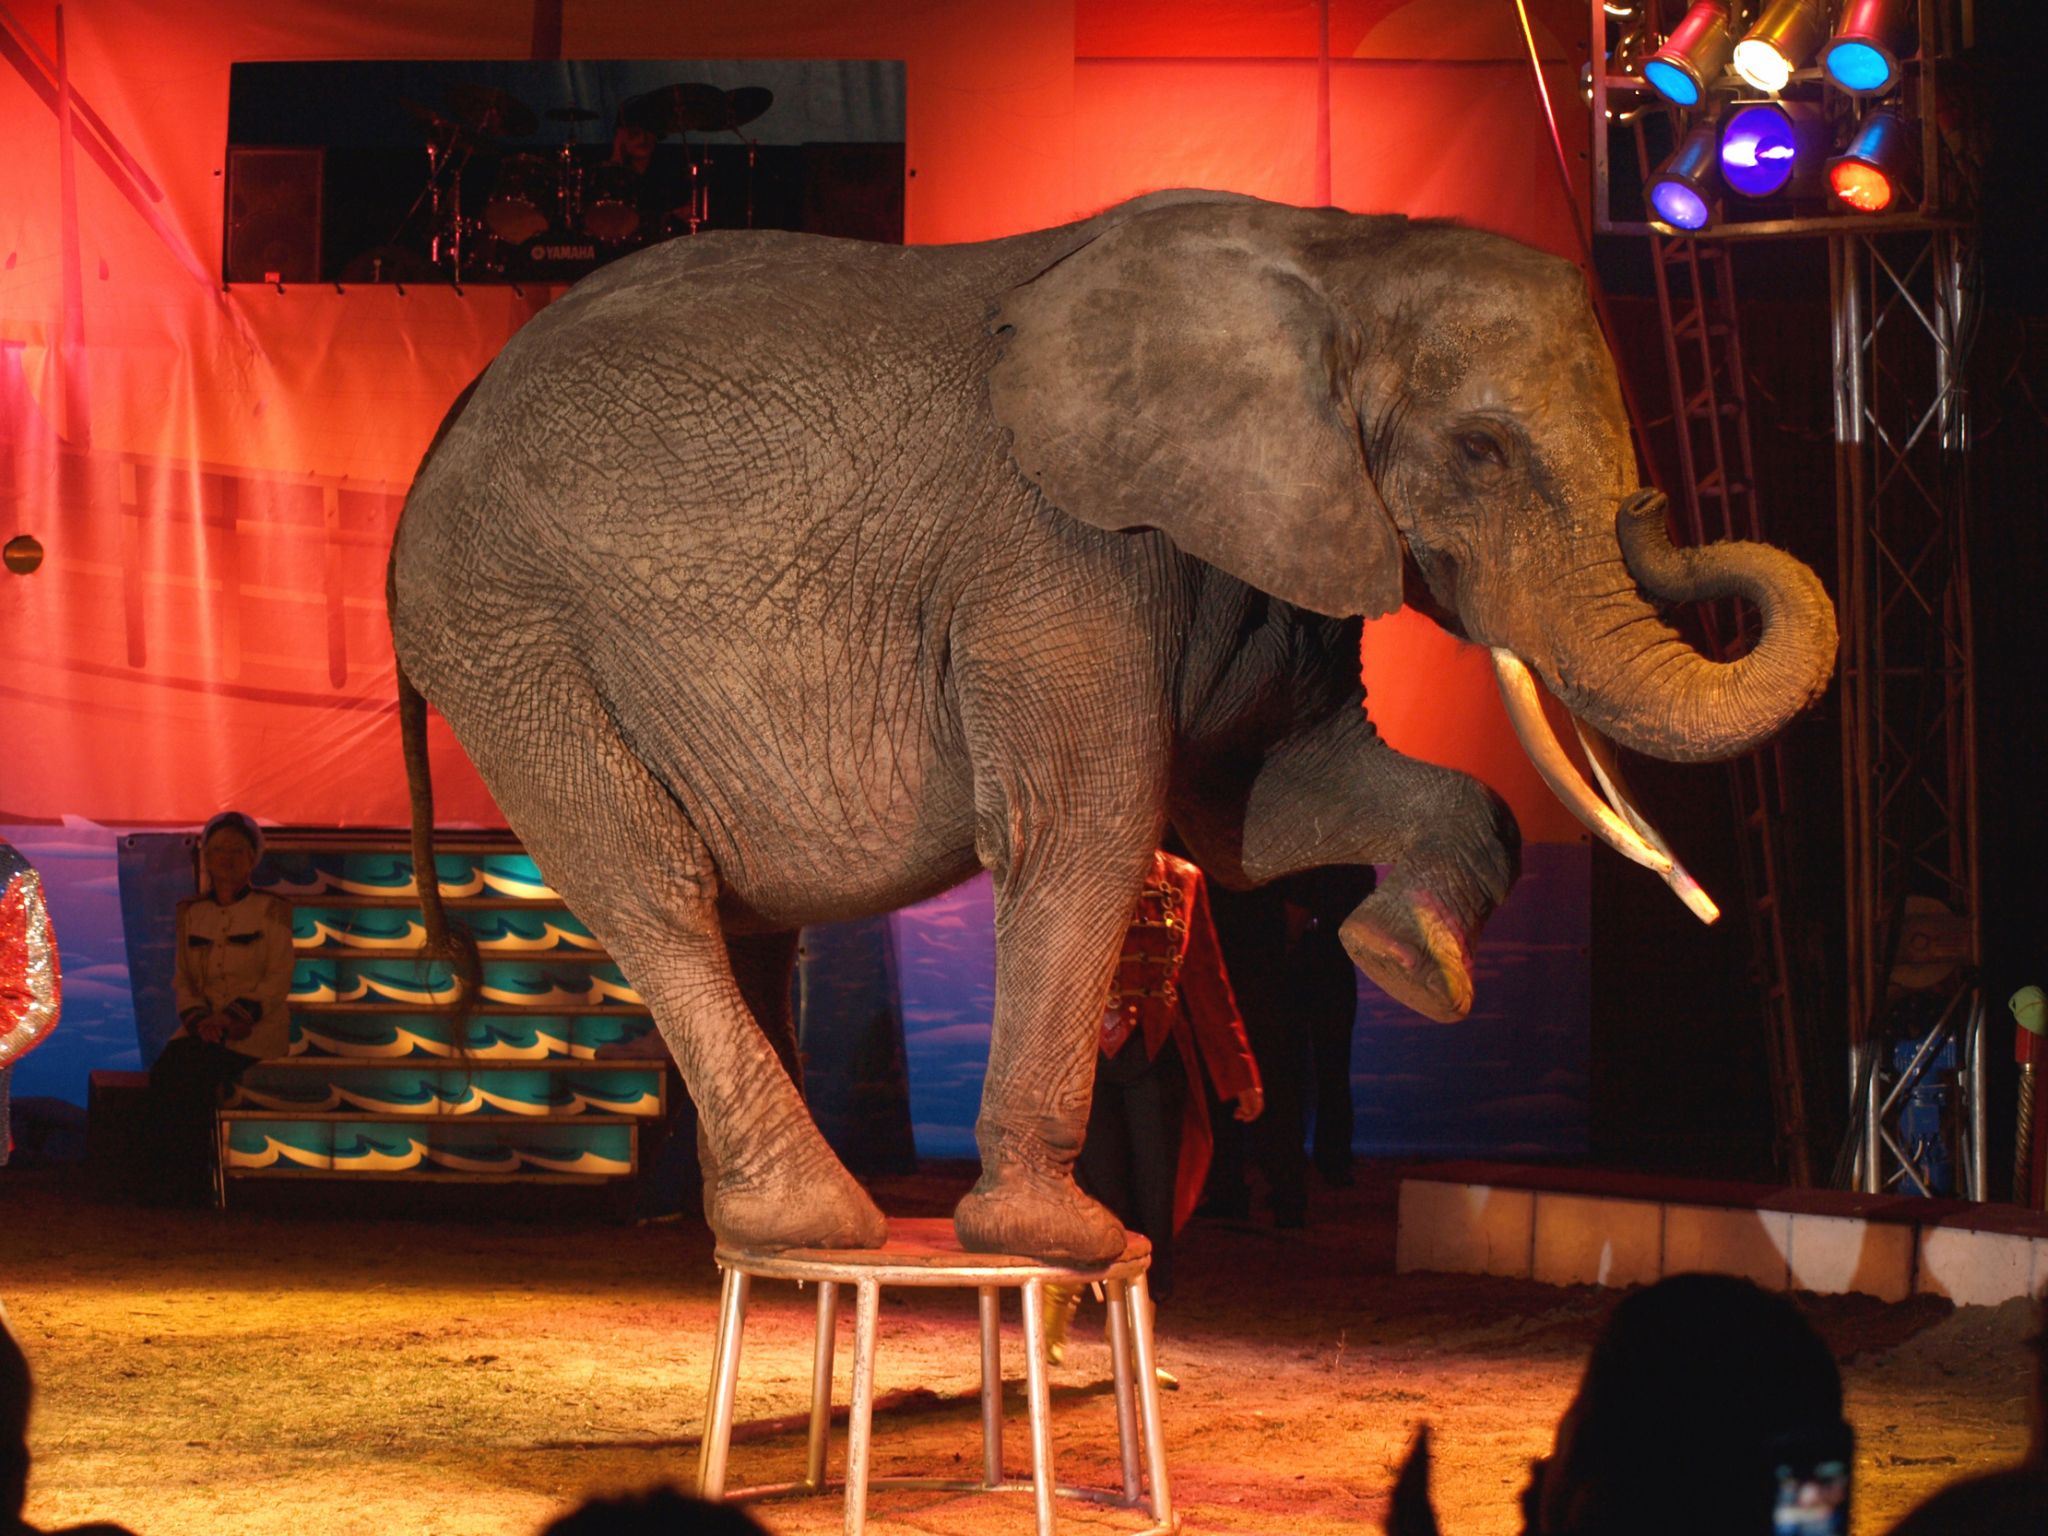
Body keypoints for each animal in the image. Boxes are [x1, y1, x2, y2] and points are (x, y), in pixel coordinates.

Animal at [389, 189, 1836, 1264]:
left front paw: (1406, 961)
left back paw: (766, 1234)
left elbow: (1269, 803)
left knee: (745, 918)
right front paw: (1066, 1244)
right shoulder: (1060, 548)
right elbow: (1084, 824)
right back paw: (821, 1220)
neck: (1332, 254)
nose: (1665, 520)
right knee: (656, 884)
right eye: (1479, 453)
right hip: (514, 632)